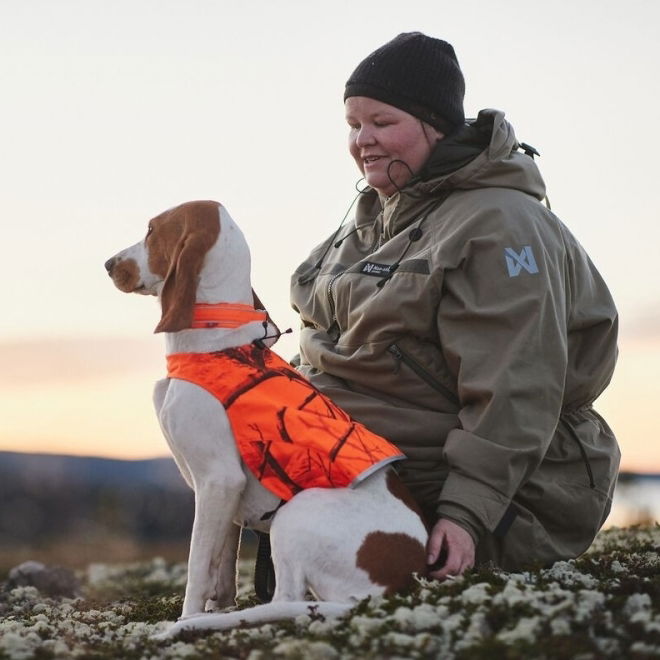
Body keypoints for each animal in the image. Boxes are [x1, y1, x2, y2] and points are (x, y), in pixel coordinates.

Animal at [104, 200, 428, 636]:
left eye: (152, 230)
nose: (108, 264)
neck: (212, 338)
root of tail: (394, 586)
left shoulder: (218, 480)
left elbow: (196, 566)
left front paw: (188, 618)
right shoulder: (225, 495)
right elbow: (221, 565)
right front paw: (217, 606)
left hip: (293, 513)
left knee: (286, 599)